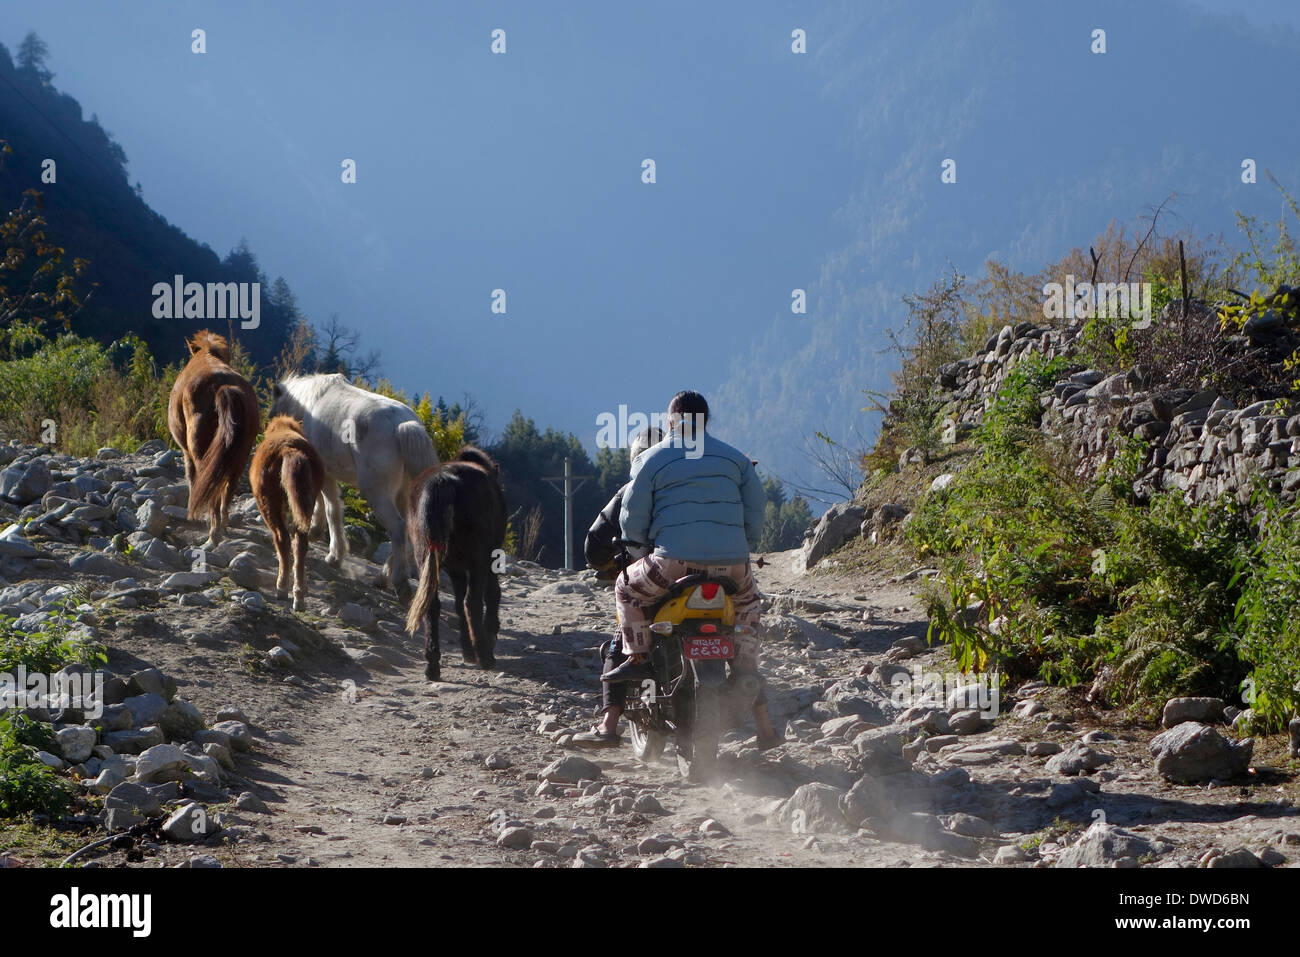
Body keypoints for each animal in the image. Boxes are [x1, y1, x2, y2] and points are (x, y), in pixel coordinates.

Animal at [166, 332, 257, 548]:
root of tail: (224, 387)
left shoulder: (187, 453)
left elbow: (192, 479)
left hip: (202, 453)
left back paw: (213, 533)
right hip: (239, 457)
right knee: (227, 489)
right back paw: (222, 526)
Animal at [269, 374, 436, 595]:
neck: (309, 402)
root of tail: (403, 427)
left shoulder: (325, 471)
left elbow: (332, 509)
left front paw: (334, 554)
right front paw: (315, 530)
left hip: (377, 493)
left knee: (398, 528)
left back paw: (399, 582)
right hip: (404, 496)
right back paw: (382, 578)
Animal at [405, 447, 506, 681]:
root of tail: (442, 481)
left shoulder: (455, 569)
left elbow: (458, 604)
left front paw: (467, 650)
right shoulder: (488, 559)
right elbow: (491, 593)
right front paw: (489, 634)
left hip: (426, 559)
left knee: (433, 605)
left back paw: (433, 665)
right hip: (478, 558)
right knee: (473, 601)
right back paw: (485, 656)